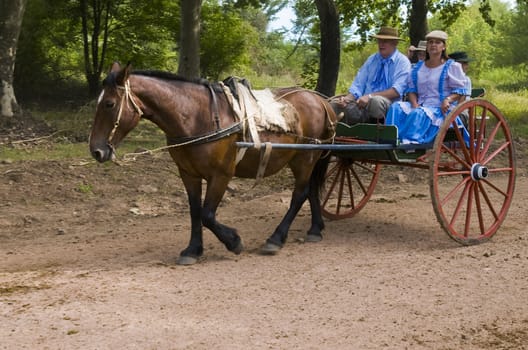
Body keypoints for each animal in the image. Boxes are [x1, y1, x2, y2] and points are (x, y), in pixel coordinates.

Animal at [88, 63, 336, 266]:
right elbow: (195, 212)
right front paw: (193, 250)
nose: (96, 150)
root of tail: (320, 100)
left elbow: (207, 214)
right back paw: (315, 229)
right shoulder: (188, 174)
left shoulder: (221, 175)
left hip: (305, 158)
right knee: (311, 189)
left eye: (109, 103)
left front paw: (233, 241)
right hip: (306, 158)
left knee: (300, 194)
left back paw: (276, 238)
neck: (198, 116)